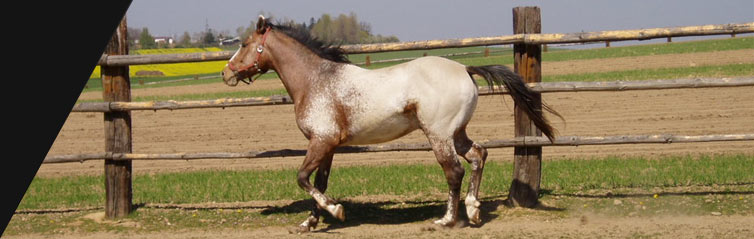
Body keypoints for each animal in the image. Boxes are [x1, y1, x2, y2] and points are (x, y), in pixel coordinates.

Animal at [220, 15, 556, 232]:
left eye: (245, 43)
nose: (226, 73)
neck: (317, 80)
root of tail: (464, 68)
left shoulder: (321, 141)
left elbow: (303, 178)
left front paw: (336, 211)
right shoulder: (328, 146)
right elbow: (319, 182)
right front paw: (309, 223)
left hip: (439, 135)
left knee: (454, 171)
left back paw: (447, 221)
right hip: (457, 133)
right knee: (478, 155)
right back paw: (473, 211)